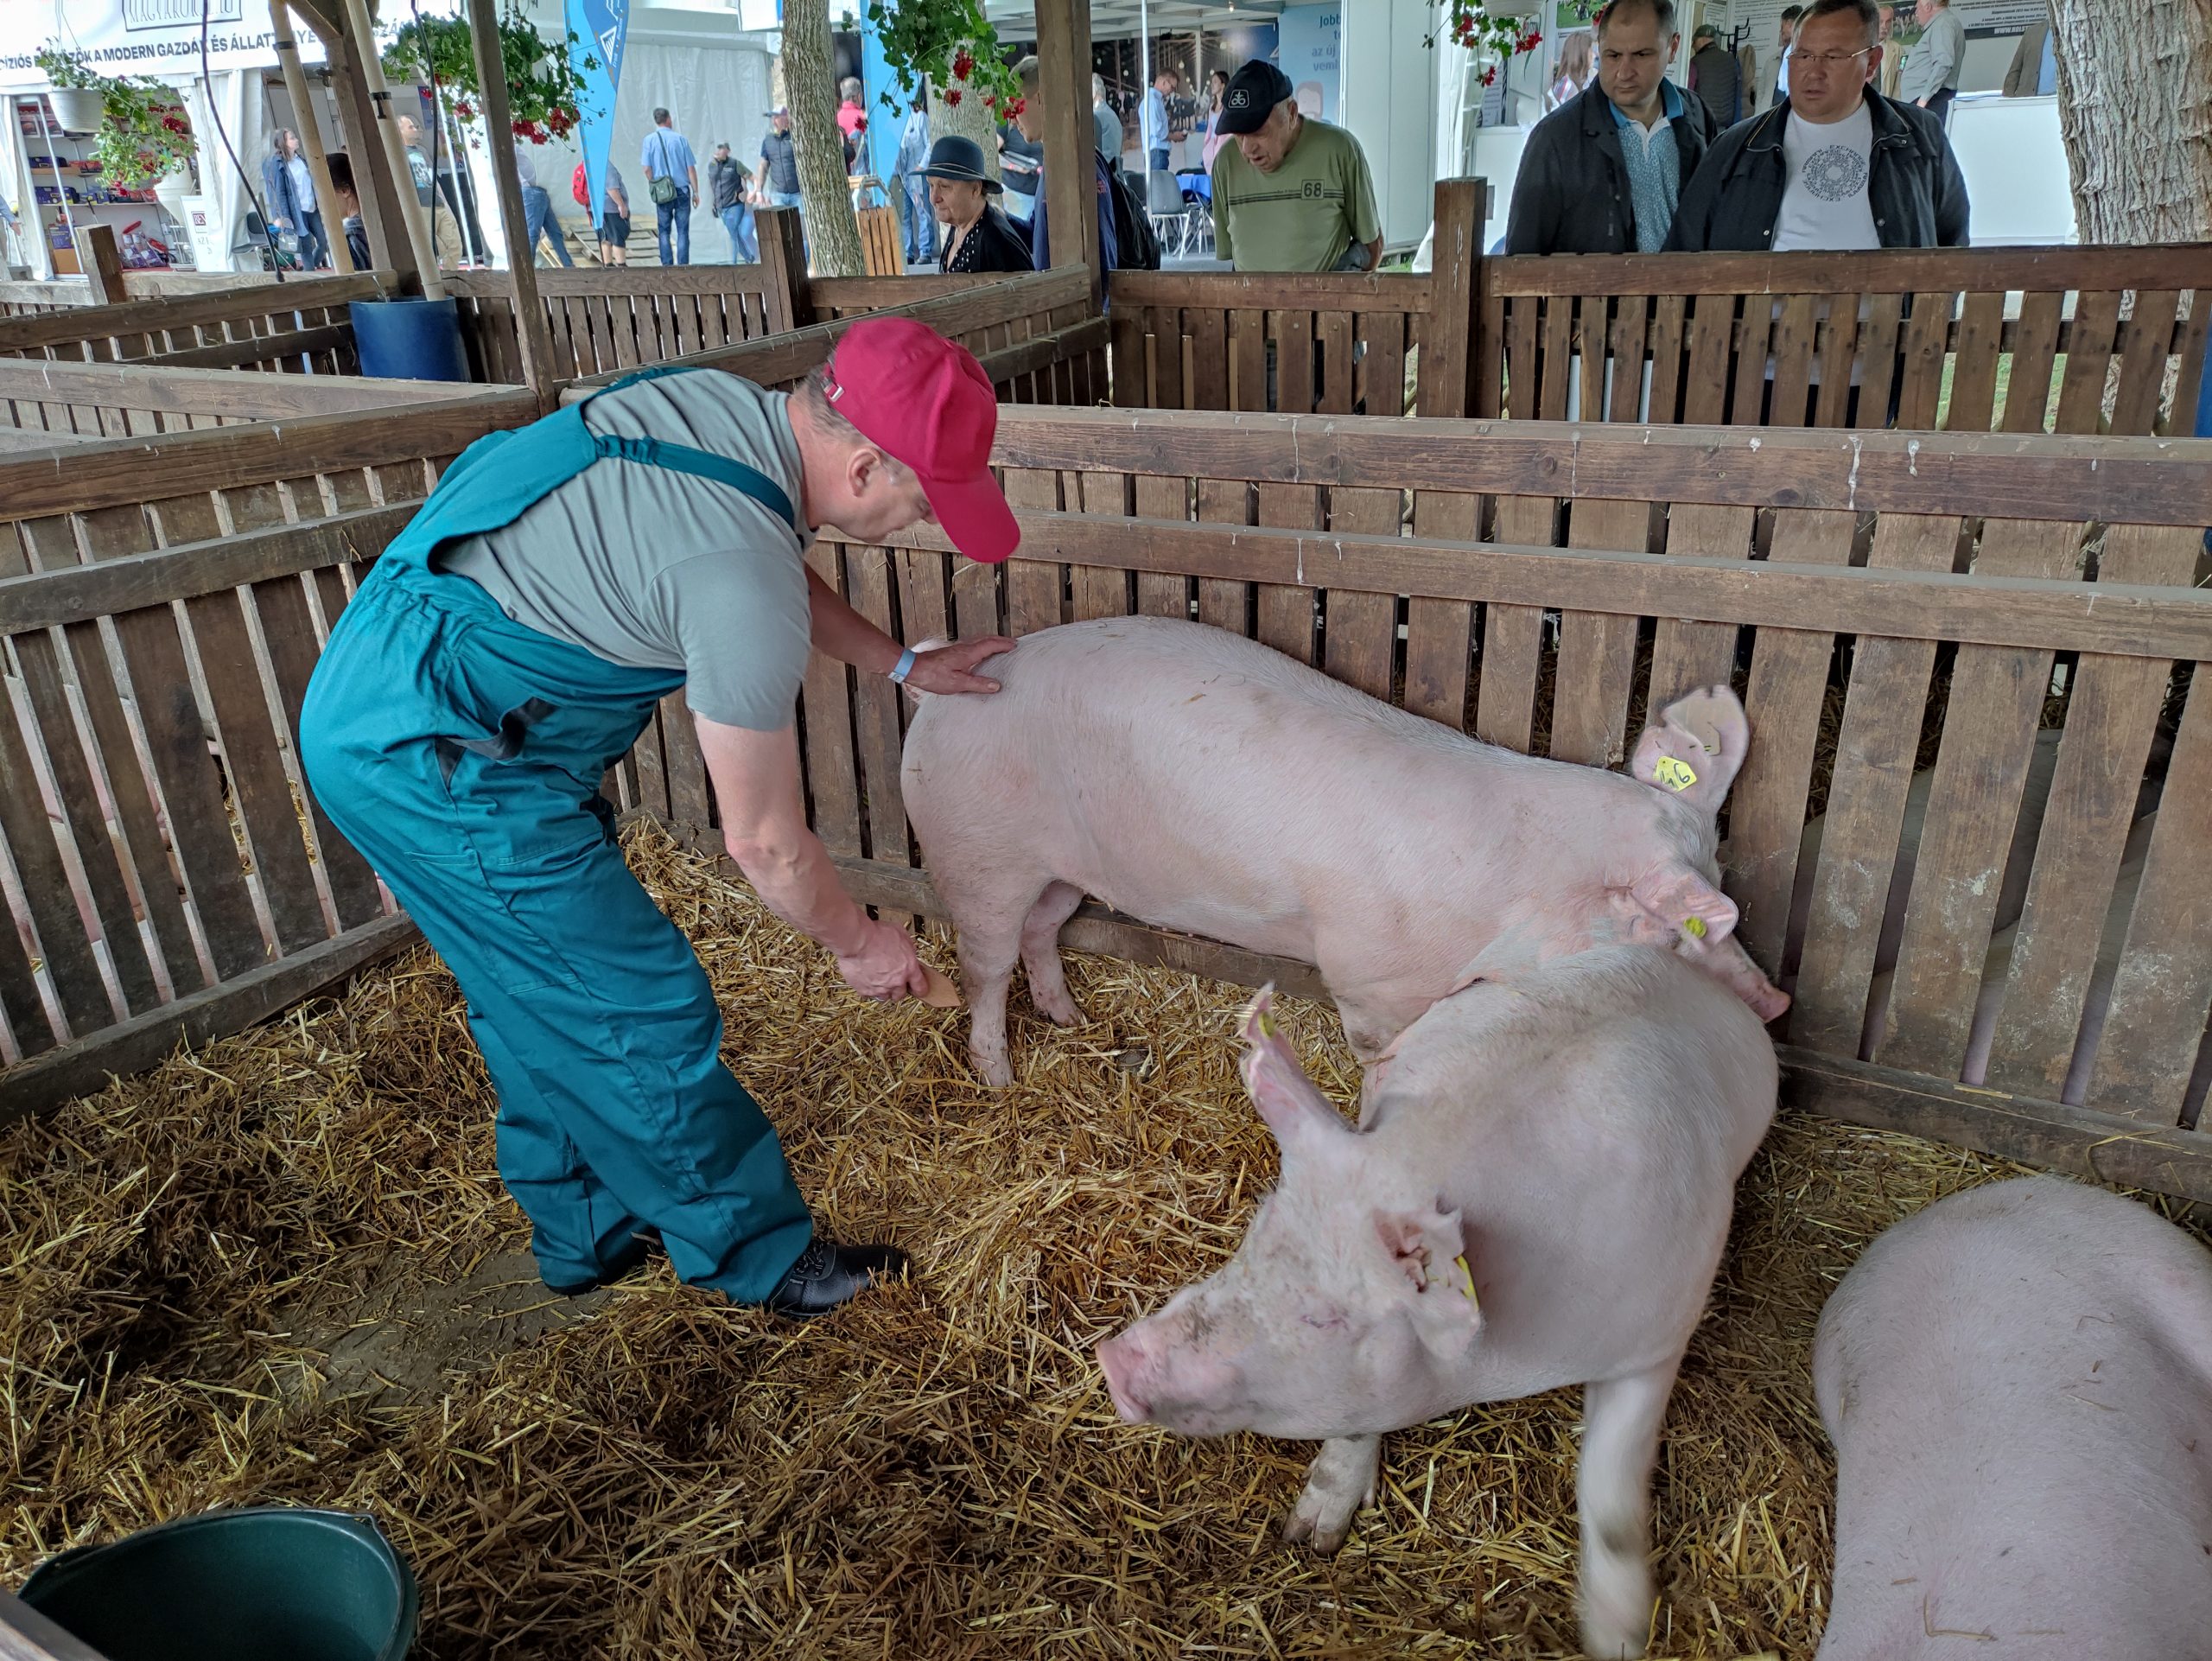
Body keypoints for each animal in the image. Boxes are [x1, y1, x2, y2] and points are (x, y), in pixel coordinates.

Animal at [906, 614, 1787, 1092]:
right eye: (1678, 928)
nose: (1776, 1002)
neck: (1520, 895)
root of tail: (936, 693)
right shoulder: (1370, 978)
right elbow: (1378, 1049)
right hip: (977, 856)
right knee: (984, 968)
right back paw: (999, 1078)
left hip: (1061, 870)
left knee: (1041, 931)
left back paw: (1072, 1017)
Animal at [1106, 959, 1778, 1661]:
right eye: (1254, 1240)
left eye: (1327, 1317)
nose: (1115, 1360)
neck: (1499, 1365)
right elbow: (1354, 1426)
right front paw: (1311, 1537)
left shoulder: (1660, 1332)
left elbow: (1613, 1497)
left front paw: (1616, 1639)